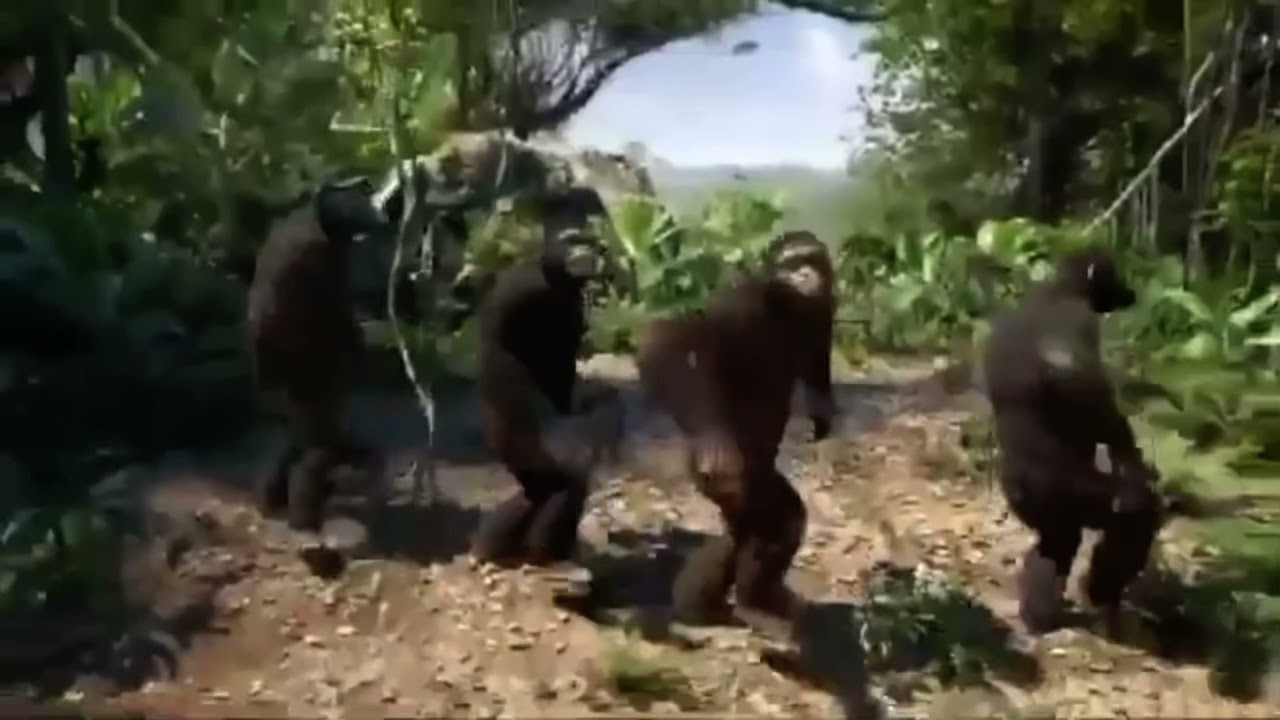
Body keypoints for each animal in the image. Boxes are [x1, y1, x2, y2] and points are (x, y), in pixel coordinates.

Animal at [469, 187, 611, 569]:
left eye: (587, 240)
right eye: (571, 239)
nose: (584, 254)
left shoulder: (571, 310)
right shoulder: (522, 289)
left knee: (538, 491)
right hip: (517, 440)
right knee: (564, 478)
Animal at [635, 230, 837, 630]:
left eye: (811, 258)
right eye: (791, 262)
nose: (804, 274)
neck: (786, 307)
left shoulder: (822, 311)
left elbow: (816, 364)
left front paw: (823, 417)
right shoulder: (740, 304)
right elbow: (680, 341)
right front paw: (715, 440)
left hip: (757, 477)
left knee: (769, 524)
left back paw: (733, 601)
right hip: (719, 476)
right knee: (756, 524)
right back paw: (742, 603)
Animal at [981, 244, 1162, 634]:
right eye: (1112, 273)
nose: (1129, 292)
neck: (1056, 289)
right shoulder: (1076, 320)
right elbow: (1085, 388)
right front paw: (1132, 460)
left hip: (1037, 504)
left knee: (1055, 545)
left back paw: (1040, 616)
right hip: (1071, 491)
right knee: (1132, 519)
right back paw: (1100, 593)